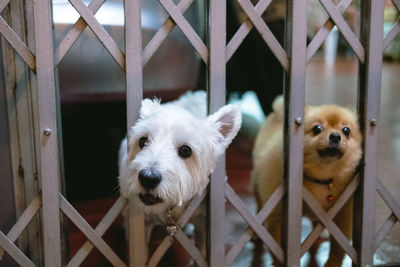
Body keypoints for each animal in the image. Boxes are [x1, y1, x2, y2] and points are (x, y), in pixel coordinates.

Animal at [253, 97, 362, 267]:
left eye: (346, 131)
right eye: (317, 129)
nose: (335, 136)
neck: (321, 178)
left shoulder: (342, 214)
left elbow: (338, 247)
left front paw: (332, 263)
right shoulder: (278, 214)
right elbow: (278, 245)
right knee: (259, 206)